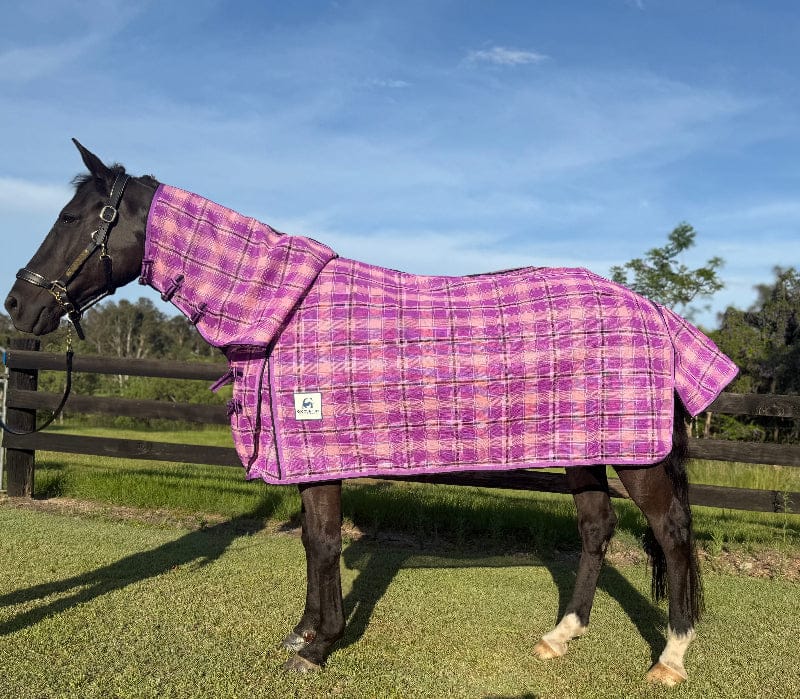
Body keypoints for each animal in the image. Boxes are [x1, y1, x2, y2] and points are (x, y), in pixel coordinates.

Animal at [5, 140, 737, 686]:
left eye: (71, 218)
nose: (19, 305)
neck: (280, 312)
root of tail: (660, 315)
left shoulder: (319, 453)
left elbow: (325, 541)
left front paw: (318, 645)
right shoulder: (304, 457)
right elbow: (311, 541)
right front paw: (304, 630)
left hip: (638, 458)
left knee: (672, 534)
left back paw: (671, 657)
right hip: (583, 450)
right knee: (595, 530)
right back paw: (559, 636)